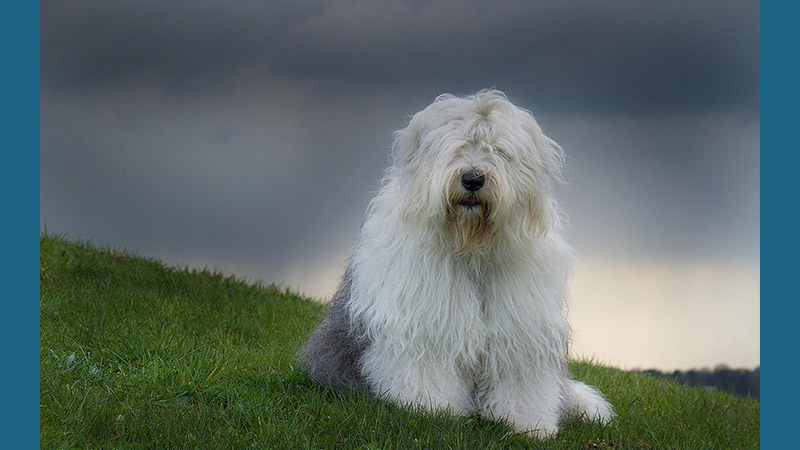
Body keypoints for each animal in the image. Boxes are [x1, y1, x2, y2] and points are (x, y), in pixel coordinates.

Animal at [298, 89, 612, 438]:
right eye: (456, 146)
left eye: (499, 150)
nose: (472, 178)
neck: (471, 246)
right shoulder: (426, 322)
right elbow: (429, 366)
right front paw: (433, 410)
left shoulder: (520, 329)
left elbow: (519, 378)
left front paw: (529, 425)